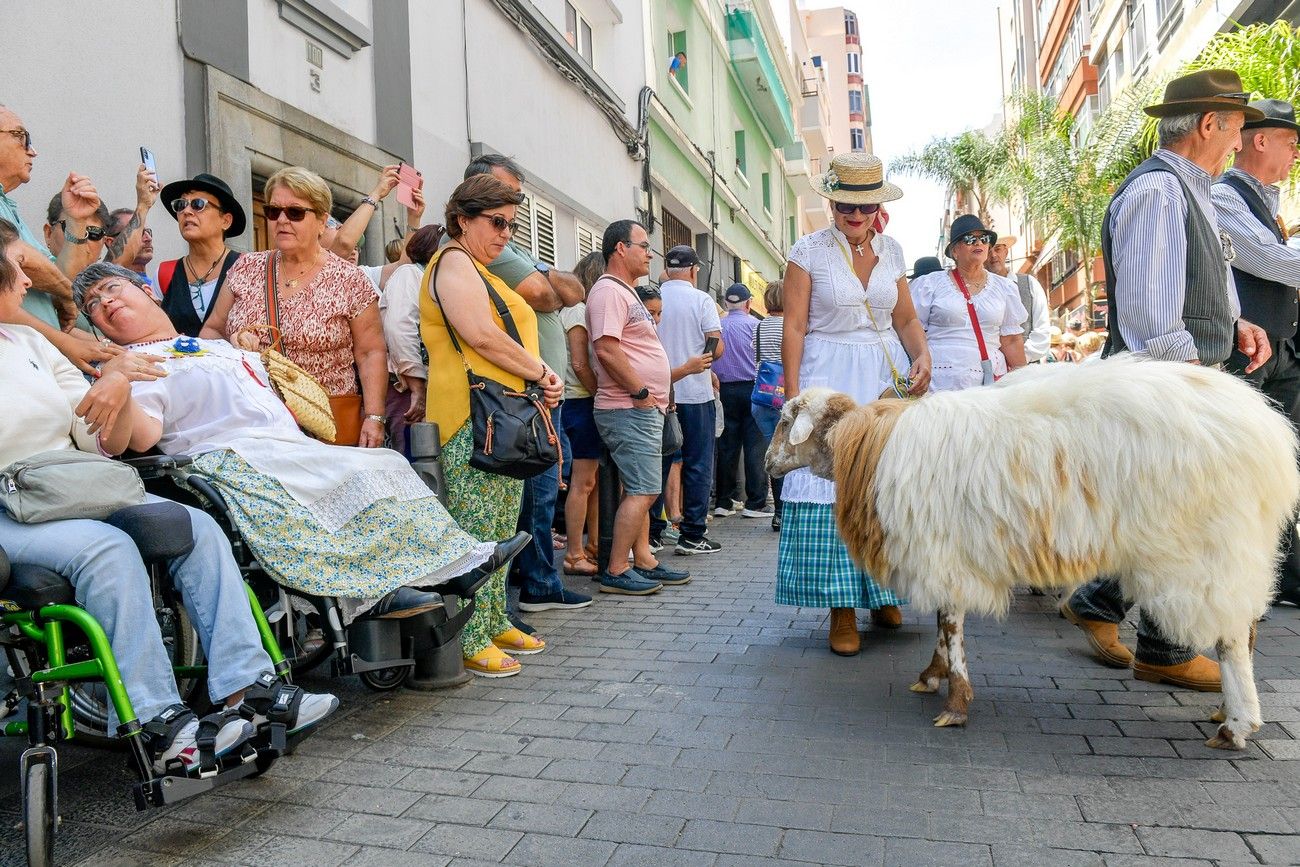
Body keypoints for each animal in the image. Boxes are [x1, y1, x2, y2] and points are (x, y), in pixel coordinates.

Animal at [764, 356, 1294, 748]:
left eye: (787, 420)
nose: (768, 463)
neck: (866, 447)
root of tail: (1270, 433)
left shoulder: (940, 552)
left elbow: (950, 626)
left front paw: (955, 704)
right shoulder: (945, 556)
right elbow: (942, 627)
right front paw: (933, 677)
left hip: (1203, 550)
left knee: (1231, 639)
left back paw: (1237, 725)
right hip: (1228, 551)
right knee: (1243, 629)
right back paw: (1224, 710)